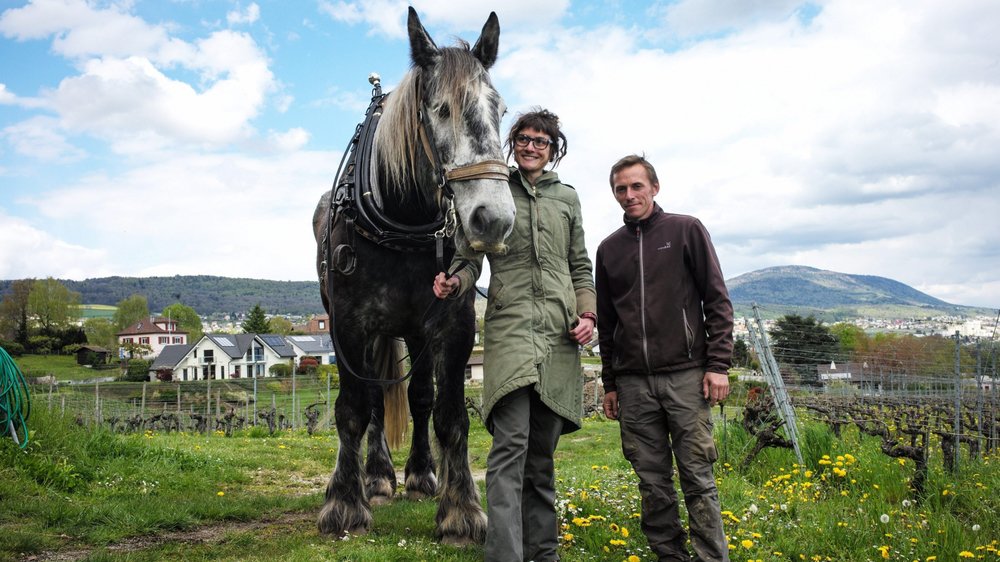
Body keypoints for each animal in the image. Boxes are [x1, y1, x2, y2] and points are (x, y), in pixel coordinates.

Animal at [312, 7, 516, 544]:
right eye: (441, 110)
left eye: (501, 110)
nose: (493, 219)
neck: (402, 217)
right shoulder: (347, 325)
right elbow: (353, 409)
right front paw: (345, 502)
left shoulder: (453, 323)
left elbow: (449, 415)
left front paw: (460, 510)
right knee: (375, 402)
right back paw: (379, 476)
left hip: (415, 334)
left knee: (419, 398)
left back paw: (422, 473)